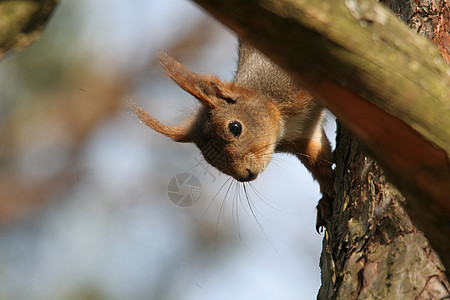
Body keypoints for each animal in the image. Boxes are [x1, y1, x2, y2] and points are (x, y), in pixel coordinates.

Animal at [132, 39, 336, 231]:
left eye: (235, 127)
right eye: (209, 161)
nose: (246, 175)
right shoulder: (302, 136)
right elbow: (319, 161)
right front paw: (326, 196)